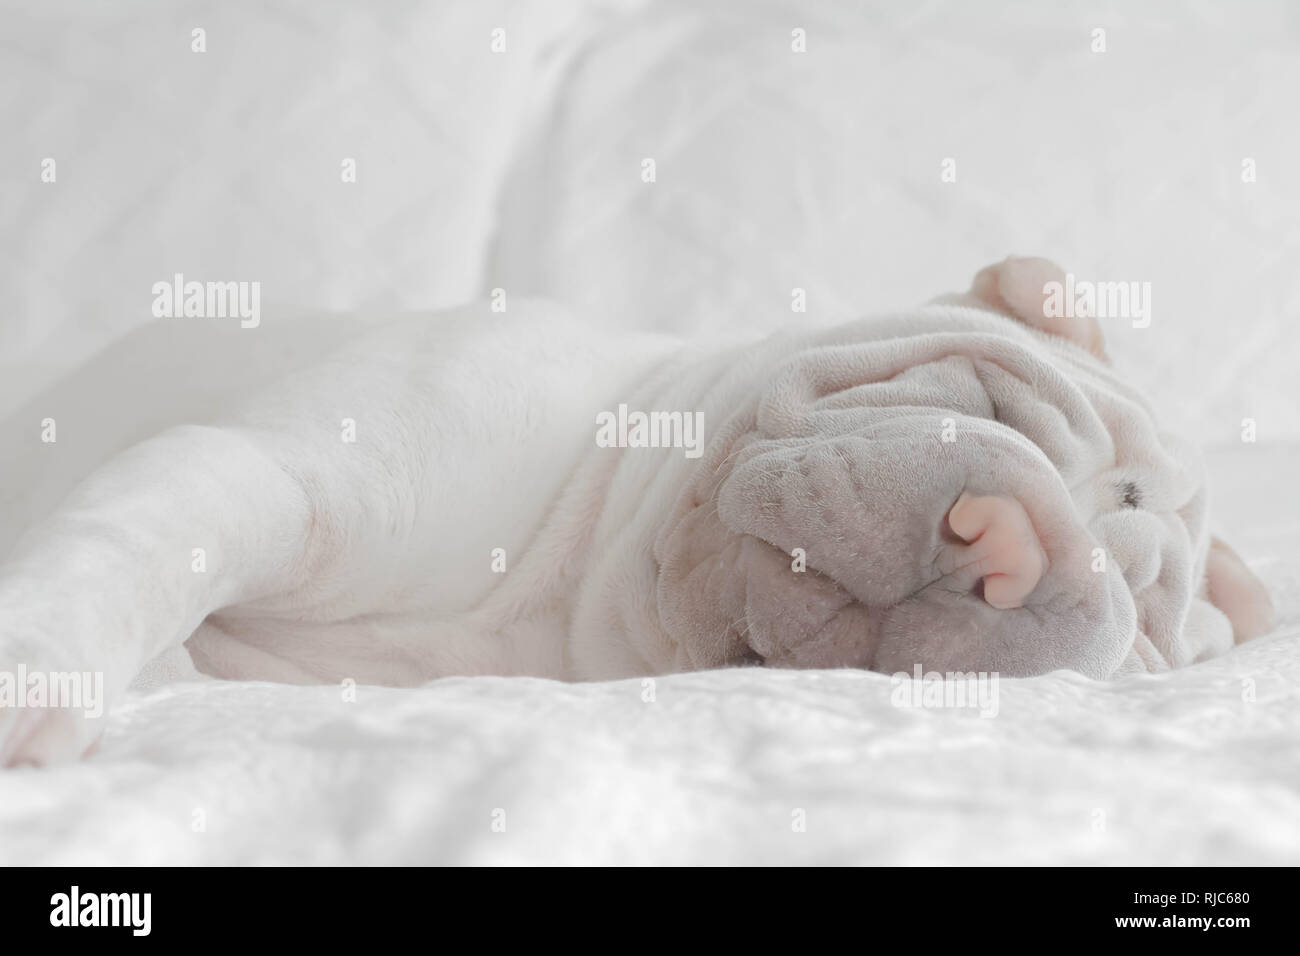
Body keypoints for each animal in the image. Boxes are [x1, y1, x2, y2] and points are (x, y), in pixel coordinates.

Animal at [0, 256, 1268, 764]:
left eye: (1137, 621)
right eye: (1005, 401)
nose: (1010, 551)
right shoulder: (265, 472)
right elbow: (132, 550)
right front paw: (39, 666)